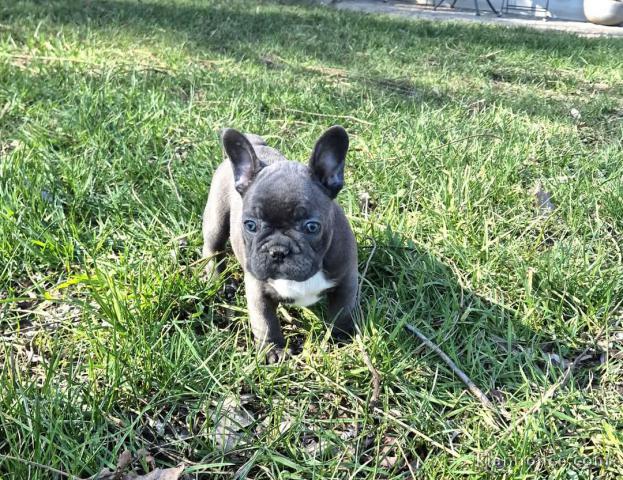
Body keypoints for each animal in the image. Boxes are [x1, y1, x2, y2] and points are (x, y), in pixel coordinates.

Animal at [202, 125, 358, 362]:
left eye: (312, 227)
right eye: (250, 225)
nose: (277, 251)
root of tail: (257, 145)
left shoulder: (346, 280)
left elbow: (342, 312)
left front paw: (341, 339)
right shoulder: (257, 290)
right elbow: (265, 322)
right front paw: (273, 350)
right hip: (216, 219)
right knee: (212, 248)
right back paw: (217, 281)